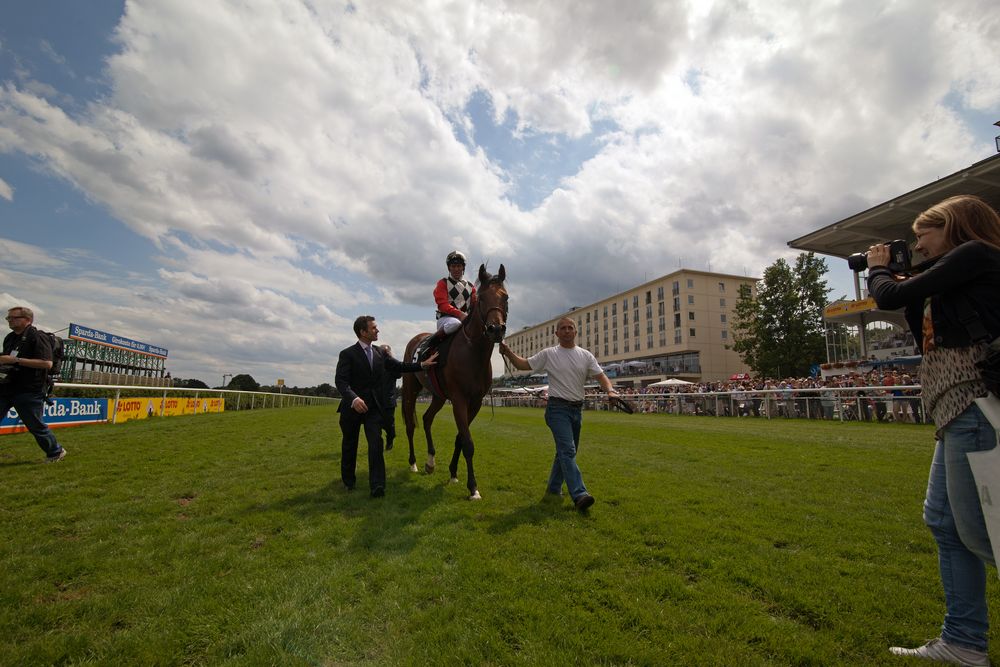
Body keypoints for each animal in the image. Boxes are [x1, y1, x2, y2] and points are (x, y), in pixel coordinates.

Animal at [400, 264, 508, 498]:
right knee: (411, 424)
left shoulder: (475, 402)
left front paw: (453, 473)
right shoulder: (459, 399)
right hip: (411, 390)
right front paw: (473, 488)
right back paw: (413, 463)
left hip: (439, 396)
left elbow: (460, 437)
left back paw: (430, 462)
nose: (495, 329)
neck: (473, 353)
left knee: (427, 418)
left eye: (505, 297)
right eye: (482, 298)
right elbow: (467, 442)